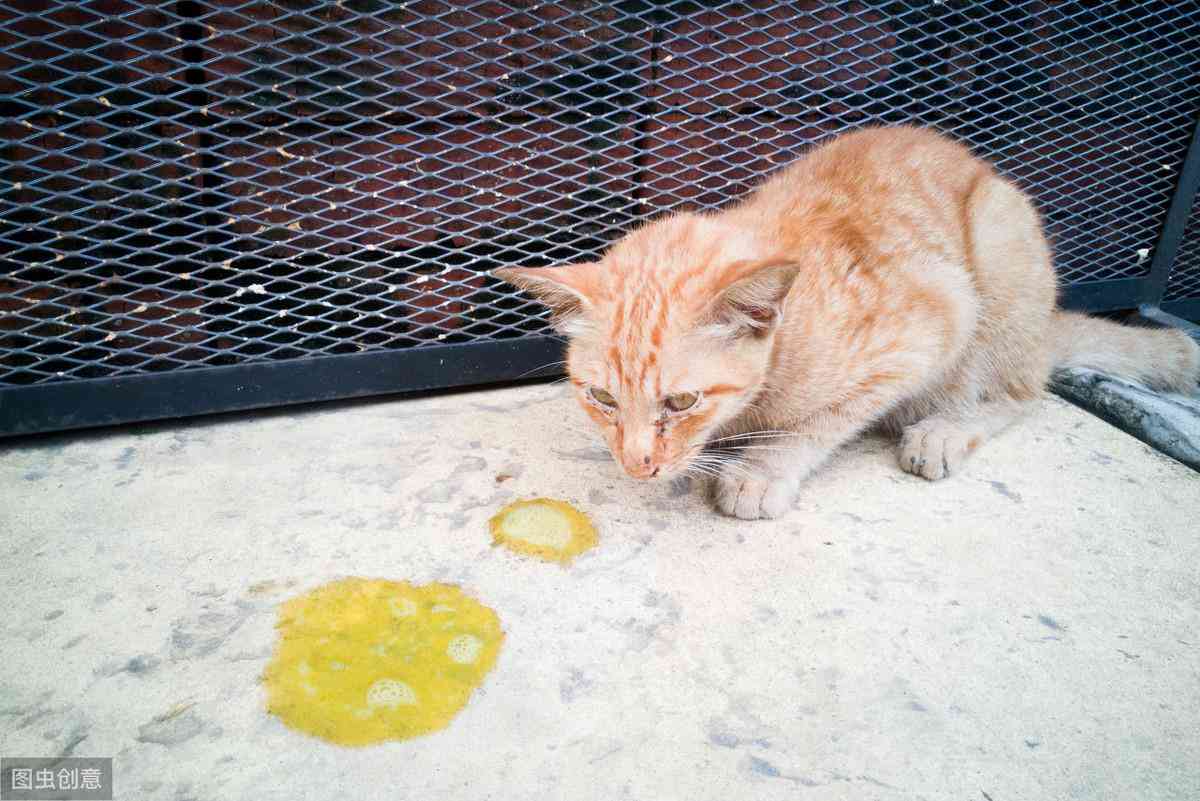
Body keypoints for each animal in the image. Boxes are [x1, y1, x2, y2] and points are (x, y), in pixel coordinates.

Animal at [495, 125, 1200, 519]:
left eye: (682, 401)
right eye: (602, 398)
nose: (638, 465)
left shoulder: (934, 322)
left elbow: (819, 424)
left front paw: (762, 469)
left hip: (999, 257)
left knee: (1022, 392)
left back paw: (946, 428)